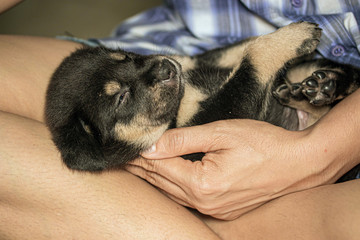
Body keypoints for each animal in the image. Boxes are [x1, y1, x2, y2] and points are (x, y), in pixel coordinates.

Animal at [45, 21, 360, 180]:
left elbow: (241, 48)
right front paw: (295, 36)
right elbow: (253, 58)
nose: (167, 68)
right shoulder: (219, 116)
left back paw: (324, 86)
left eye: (127, 57)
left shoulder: (203, 62)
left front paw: (287, 34)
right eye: (121, 98)